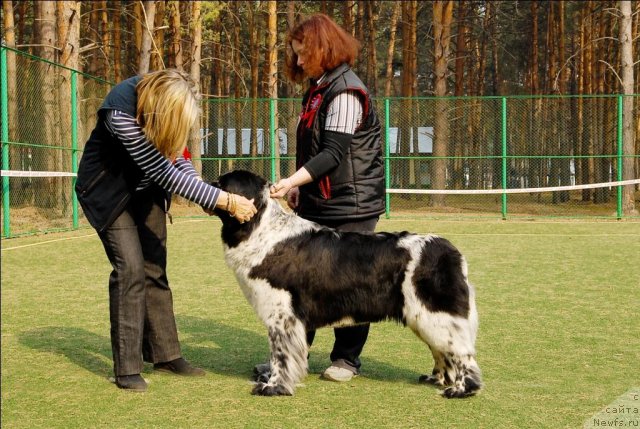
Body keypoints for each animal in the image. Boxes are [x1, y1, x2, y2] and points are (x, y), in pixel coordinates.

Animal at [212, 169, 482, 396]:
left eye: (221, 184)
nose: (210, 188)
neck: (261, 228)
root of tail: (452, 251)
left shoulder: (283, 315)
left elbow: (281, 355)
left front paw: (274, 386)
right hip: (422, 317)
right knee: (443, 351)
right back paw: (437, 379)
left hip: (436, 314)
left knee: (462, 354)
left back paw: (461, 389)